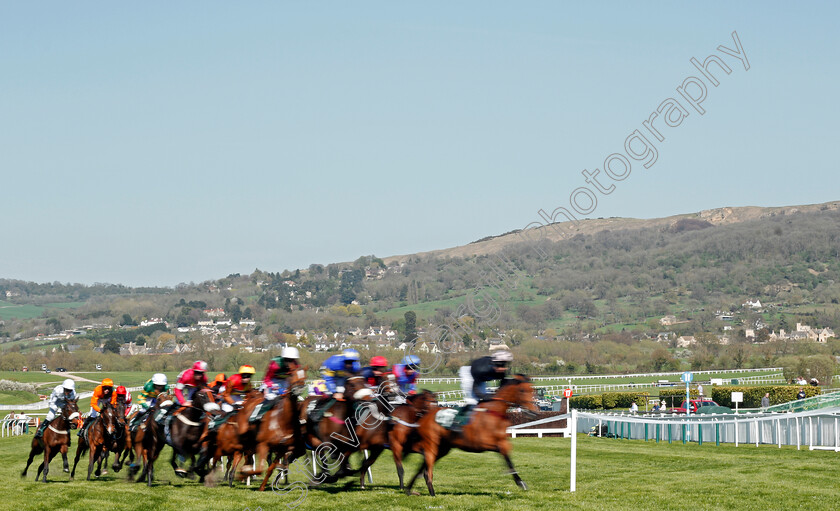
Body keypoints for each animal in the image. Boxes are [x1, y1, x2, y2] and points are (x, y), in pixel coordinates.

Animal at [406, 374, 540, 498]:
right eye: (522, 390)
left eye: (533, 389)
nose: (535, 411)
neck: (494, 412)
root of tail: (423, 418)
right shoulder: (482, 444)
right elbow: (504, 455)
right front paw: (520, 482)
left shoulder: (503, 442)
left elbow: (509, 459)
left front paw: (520, 481)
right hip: (431, 444)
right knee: (428, 469)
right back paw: (432, 493)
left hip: (443, 448)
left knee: (423, 467)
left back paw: (409, 489)